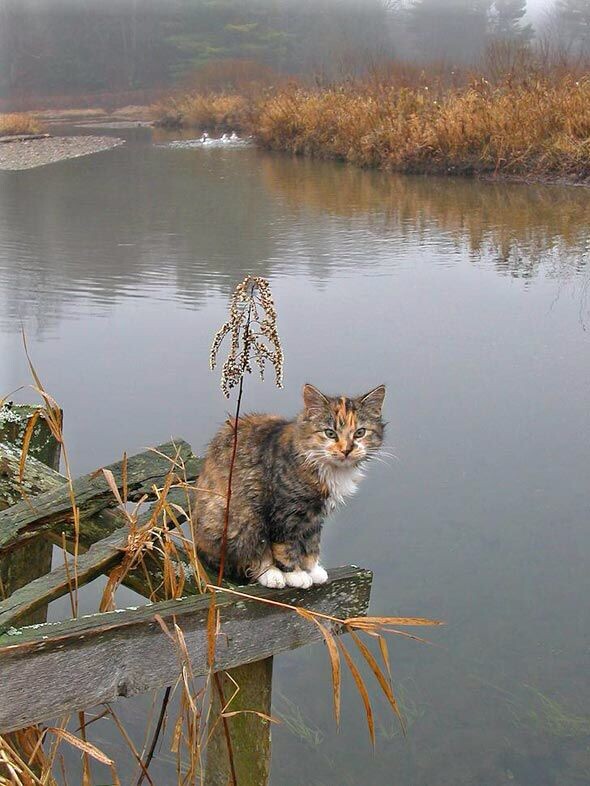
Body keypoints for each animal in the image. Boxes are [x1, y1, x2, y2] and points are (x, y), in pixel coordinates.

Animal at [192, 383, 385, 589]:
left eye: (360, 432)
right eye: (330, 433)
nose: (346, 450)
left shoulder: (314, 517)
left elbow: (311, 543)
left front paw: (312, 569)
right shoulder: (284, 512)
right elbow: (285, 546)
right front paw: (295, 574)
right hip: (243, 517)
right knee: (251, 552)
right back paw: (271, 574)